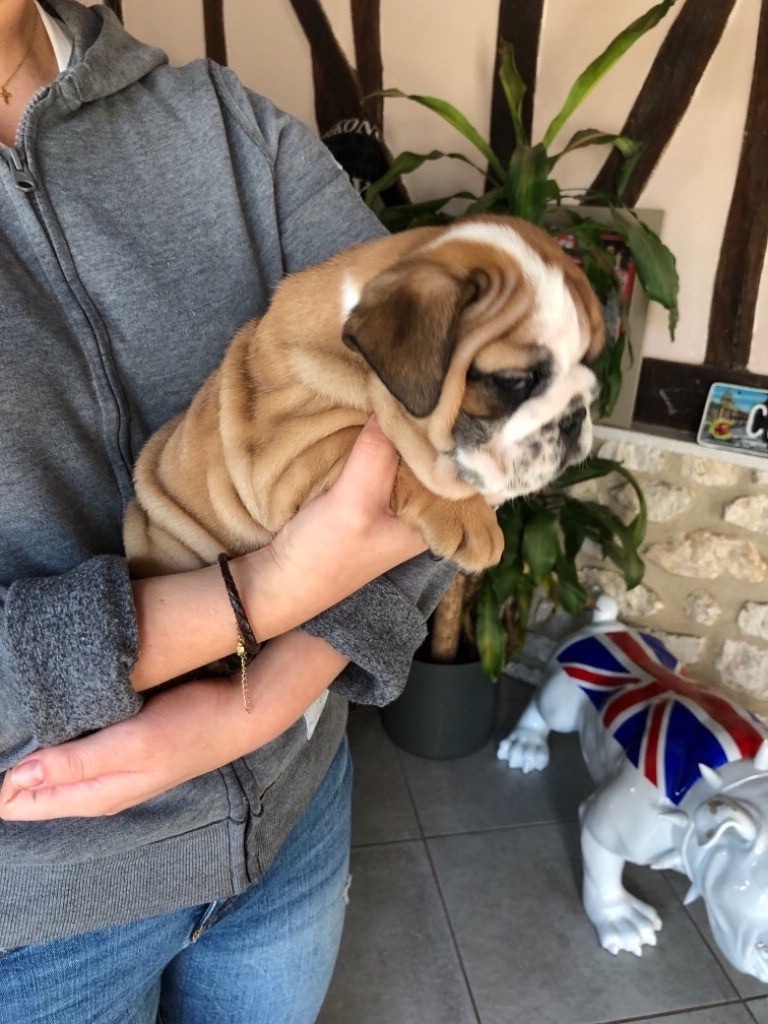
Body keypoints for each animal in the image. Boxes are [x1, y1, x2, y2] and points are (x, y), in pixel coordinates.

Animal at [123, 214, 604, 578]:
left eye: (587, 363)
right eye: (513, 381)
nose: (576, 417)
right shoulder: (287, 455)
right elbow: (379, 447)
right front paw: (467, 517)